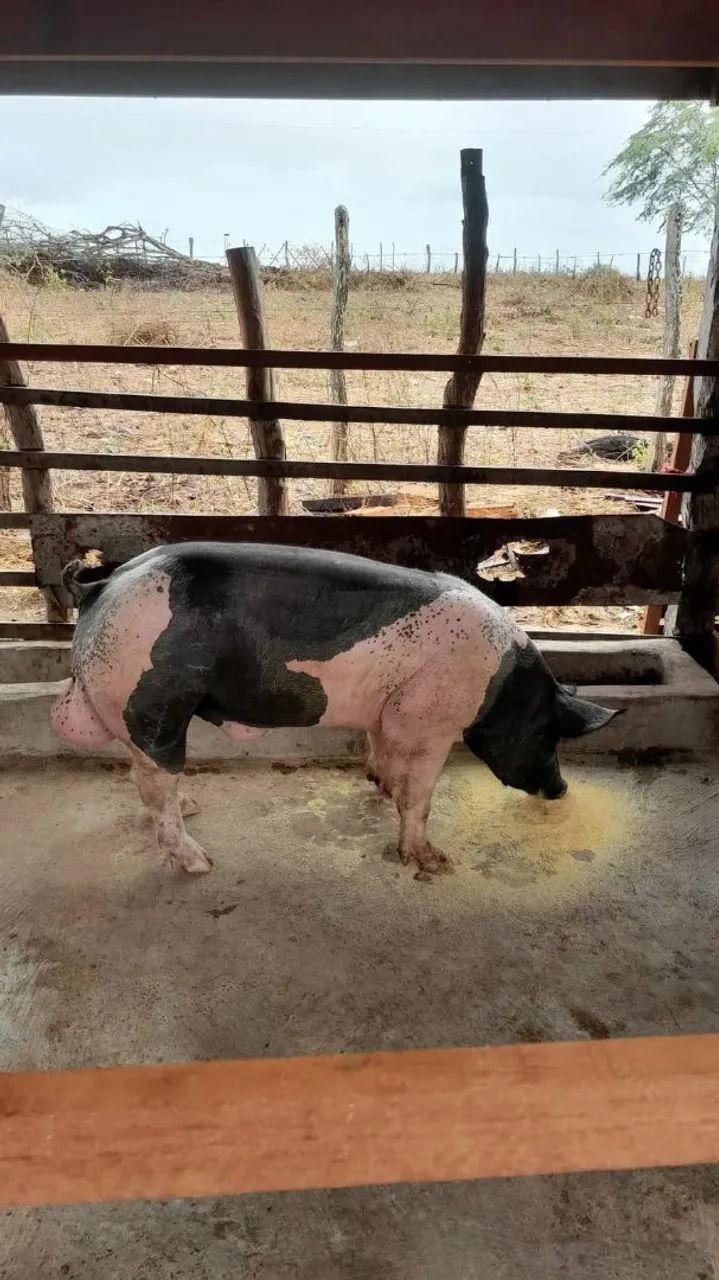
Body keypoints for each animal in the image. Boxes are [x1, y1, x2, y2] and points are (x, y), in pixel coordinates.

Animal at [51, 542, 618, 876]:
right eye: (549, 734)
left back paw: (190, 807)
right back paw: (202, 862)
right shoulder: (426, 722)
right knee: (154, 779)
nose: (561, 788)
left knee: (142, 778)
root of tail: (101, 584)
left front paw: (380, 785)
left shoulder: (389, 714)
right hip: (154, 700)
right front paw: (434, 863)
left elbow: (383, 755)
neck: (499, 685)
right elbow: (420, 797)